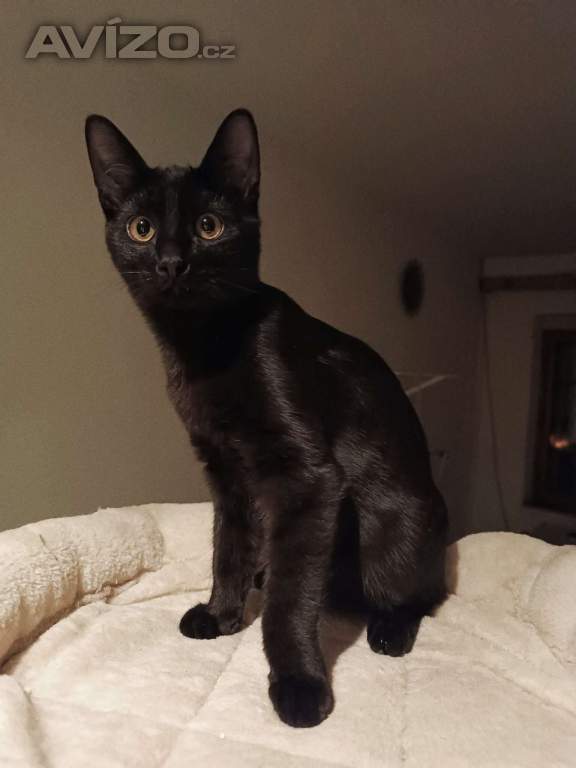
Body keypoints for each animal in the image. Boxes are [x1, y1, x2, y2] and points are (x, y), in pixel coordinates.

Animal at [85, 109, 448, 728]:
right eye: (142, 228)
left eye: (209, 227)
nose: (171, 262)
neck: (205, 350)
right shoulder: (226, 473)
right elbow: (228, 548)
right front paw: (221, 612)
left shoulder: (308, 479)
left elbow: (288, 595)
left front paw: (299, 682)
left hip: (393, 534)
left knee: (418, 593)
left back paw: (390, 628)